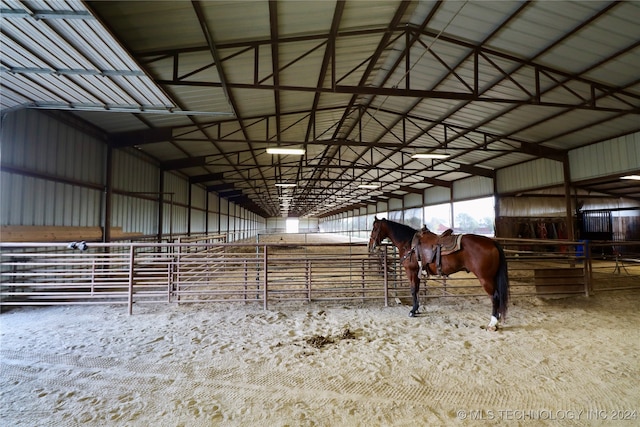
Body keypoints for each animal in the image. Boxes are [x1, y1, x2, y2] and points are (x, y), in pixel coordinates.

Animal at [370, 217, 510, 332]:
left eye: (375, 228)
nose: (371, 245)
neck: (409, 244)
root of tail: (492, 242)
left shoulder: (411, 271)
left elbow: (413, 290)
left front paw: (412, 311)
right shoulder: (417, 273)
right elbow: (417, 290)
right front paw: (417, 309)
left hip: (485, 278)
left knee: (494, 297)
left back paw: (492, 324)